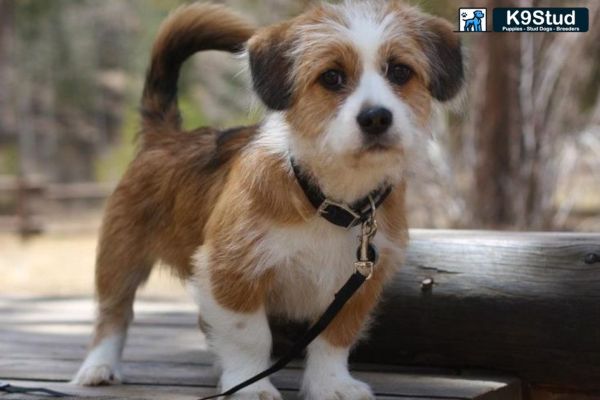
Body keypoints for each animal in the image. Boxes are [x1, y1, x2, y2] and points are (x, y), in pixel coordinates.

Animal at [72, 1, 462, 398]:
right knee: (113, 315)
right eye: (332, 77)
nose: (376, 118)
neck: (328, 198)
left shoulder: (356, 285)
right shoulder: (232, 269)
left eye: (400, 71)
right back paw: (99, 366)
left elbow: (334, 340)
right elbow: (251, 336)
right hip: (120, 260)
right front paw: (249, 383)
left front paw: (331, 384)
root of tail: (165, 135)